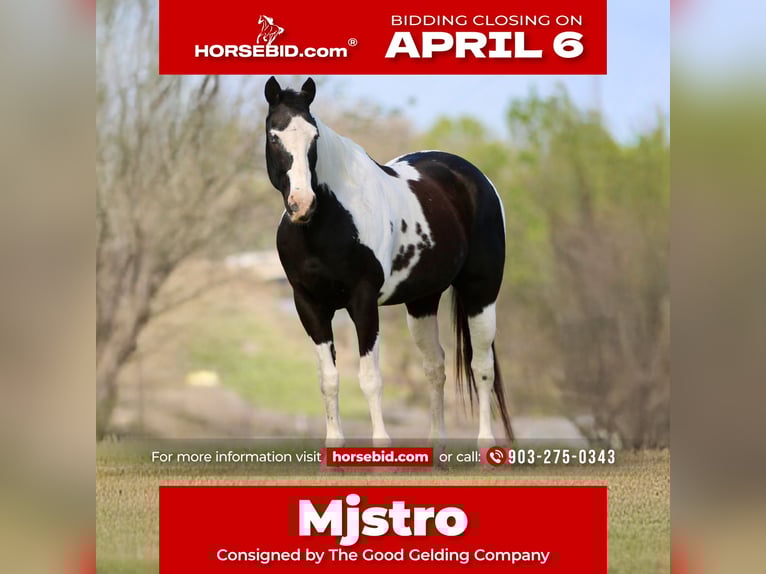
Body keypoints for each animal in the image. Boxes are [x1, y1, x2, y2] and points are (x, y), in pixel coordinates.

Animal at [264, 77, 513, 448]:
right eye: (273, 135)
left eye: (315, 136)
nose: (302, 204)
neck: (327, 225)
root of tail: (472, 177)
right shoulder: (309, 305)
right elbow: (329, 381)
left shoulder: (363, 302)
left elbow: (370, 379)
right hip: (422, 301)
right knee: (435, 367)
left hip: (481, 293)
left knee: (482, 368)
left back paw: (486, 445)